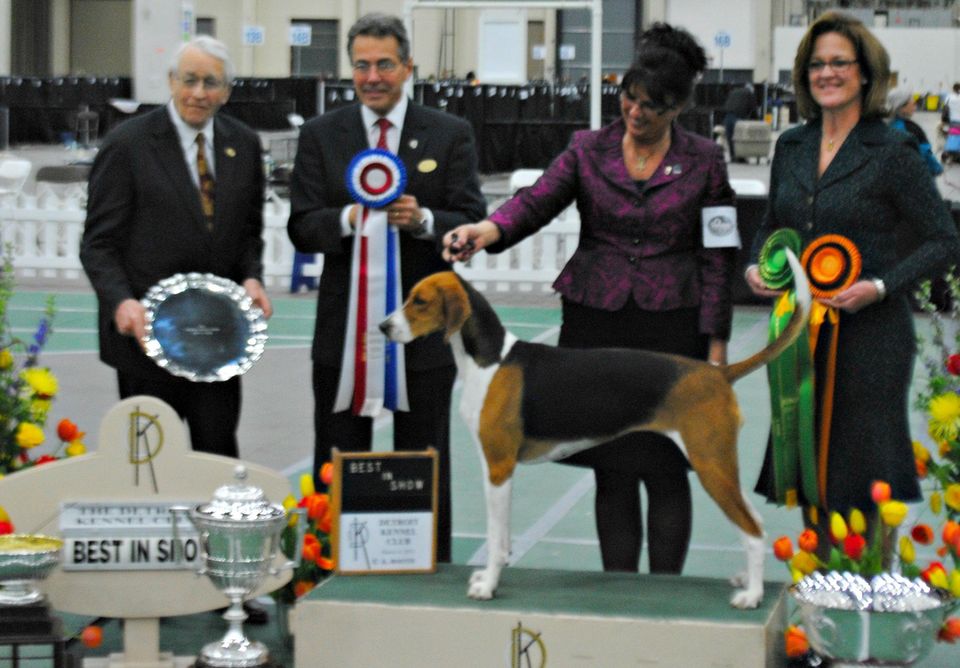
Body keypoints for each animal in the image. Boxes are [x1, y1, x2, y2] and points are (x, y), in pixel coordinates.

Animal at [382, 253, 808, 608]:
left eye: (419, 301)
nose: (384, 326)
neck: (490, 360)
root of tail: (718, 373)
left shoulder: (498, 466)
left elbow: (494, 536)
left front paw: (488, 584)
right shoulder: (500, 470)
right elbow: (502, 539)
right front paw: (489, 576)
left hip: (711, 464)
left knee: (752, 530)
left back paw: (753, 596)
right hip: (721, 465)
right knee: (756, 523)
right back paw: (746, 581)